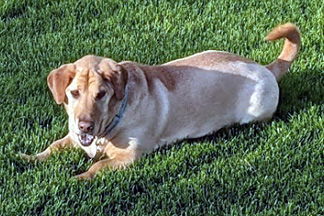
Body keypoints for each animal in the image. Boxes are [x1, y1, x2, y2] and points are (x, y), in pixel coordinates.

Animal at [20, 22, 302, 180]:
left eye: (102, 94)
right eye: (74, 93)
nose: (85, 126)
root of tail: (265, 67)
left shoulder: (130, 157)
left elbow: (97, 166)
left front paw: (76, 179)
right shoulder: (72, 137)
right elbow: (53, 146)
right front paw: (27, 158)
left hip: (255, 112)